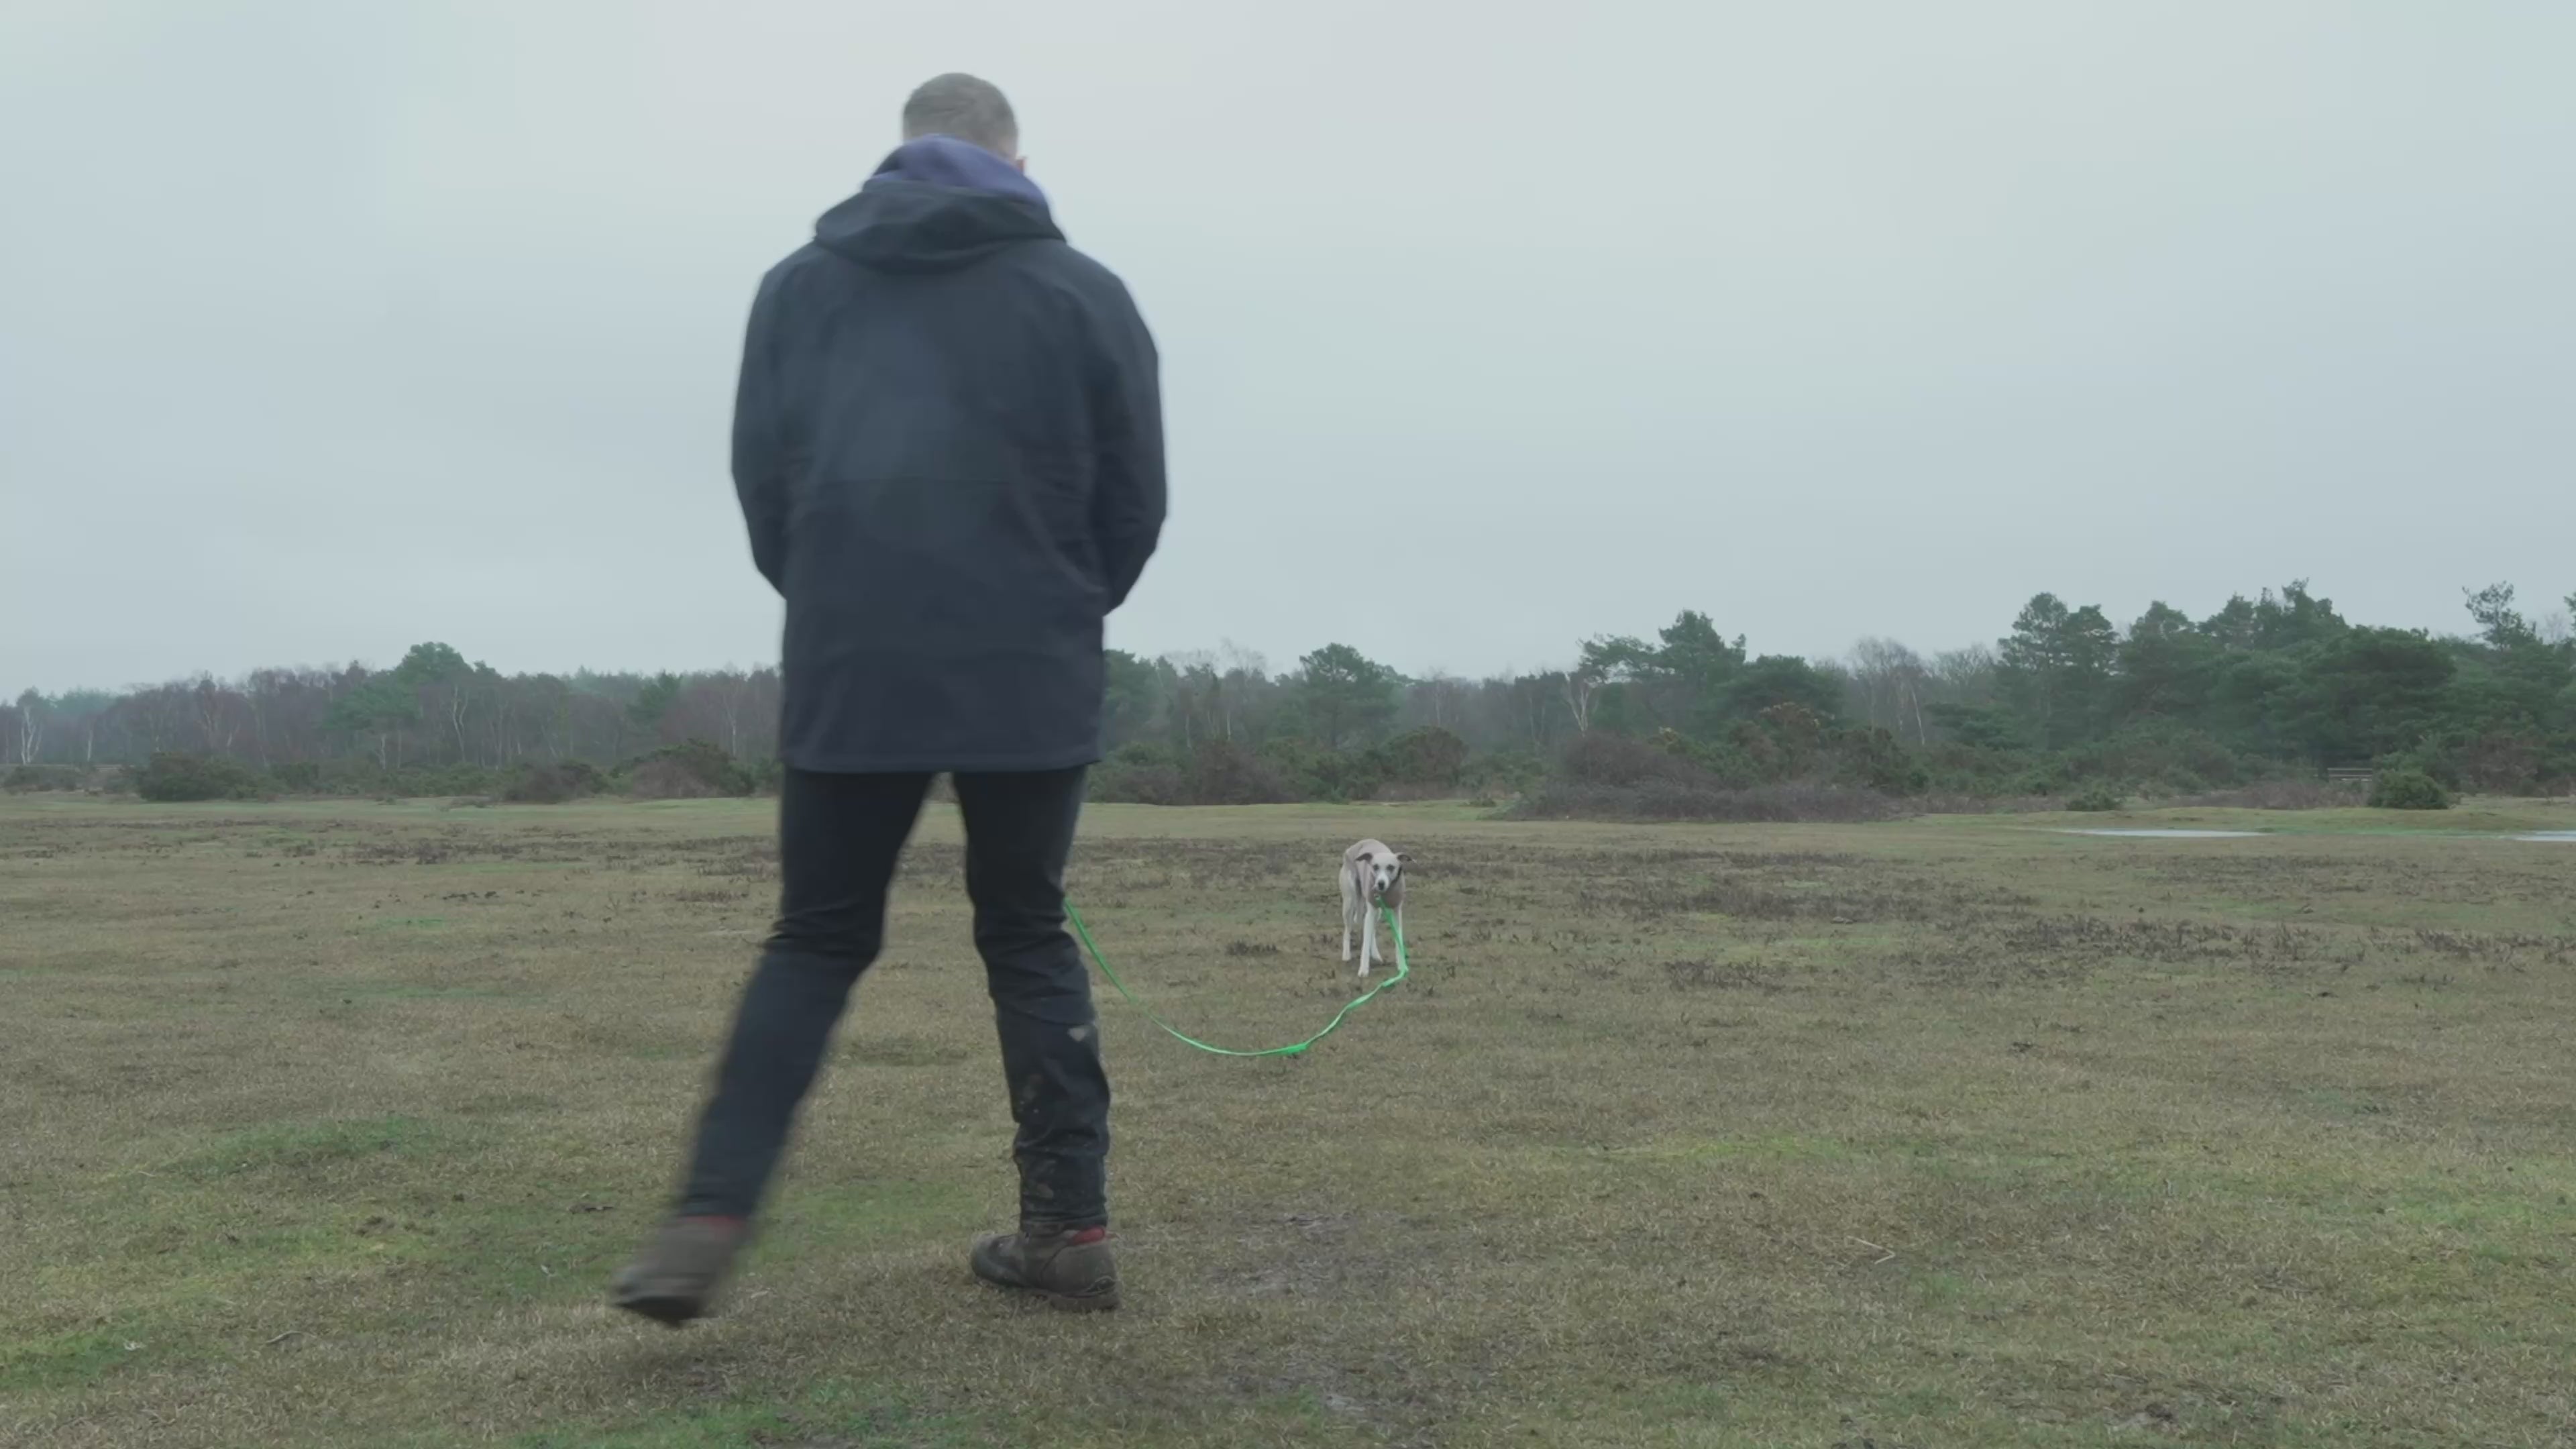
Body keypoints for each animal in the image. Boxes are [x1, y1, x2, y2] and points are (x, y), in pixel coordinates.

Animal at [1339, 839, 1410, 979]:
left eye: (1391, 867)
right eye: (1375, 867)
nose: (1380, 884)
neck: (1386, 892)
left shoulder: (1396, 912)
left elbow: (1398, 939)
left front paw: (1402, 966)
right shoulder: (1370, 911)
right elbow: (1365, 944)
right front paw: (1363, 970)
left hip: (1378, 912)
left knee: (1371, 930)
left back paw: (1376, 954)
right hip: (1350, 902)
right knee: (1348, 929)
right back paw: (1346, 955)